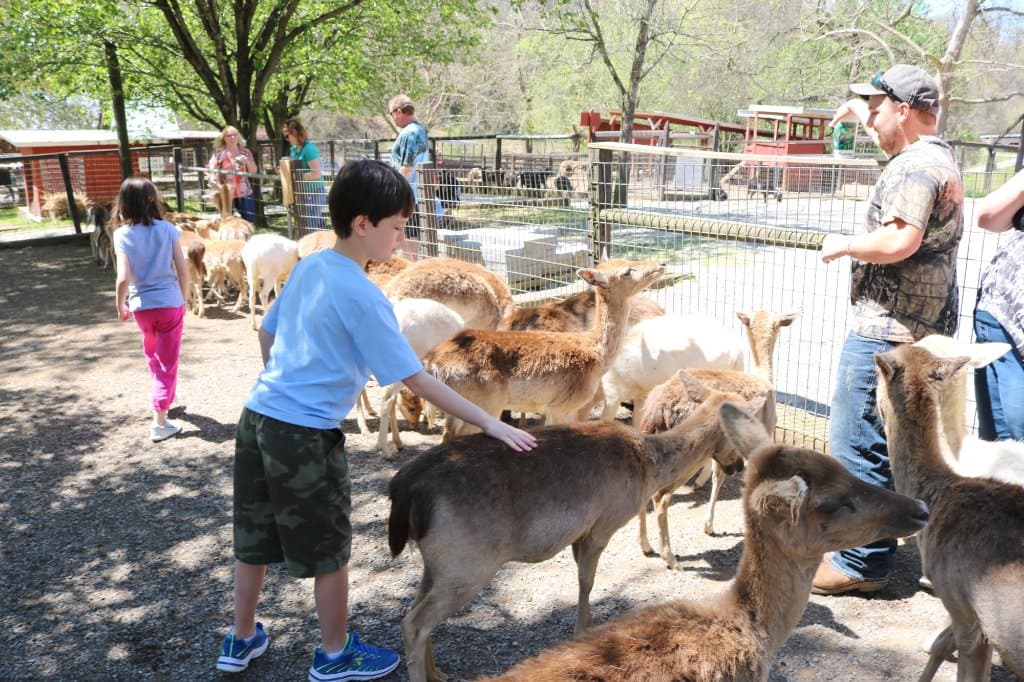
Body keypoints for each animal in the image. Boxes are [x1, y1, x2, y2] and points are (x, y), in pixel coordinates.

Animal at [388, 374, 758, 682]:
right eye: (738, 433)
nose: (738, 466)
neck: (648, 467)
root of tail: (407, 489)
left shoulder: (580, 531)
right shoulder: (603, 522)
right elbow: (586, 581)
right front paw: (583, 631)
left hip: (440, 562)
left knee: (416, 609)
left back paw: (438, 673)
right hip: (467, 562)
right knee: (414, 623)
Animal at [423, 262, 664, 438]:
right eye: (627, 270)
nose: (661, 264)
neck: (596, 355)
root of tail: (433, 363)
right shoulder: (562, 406)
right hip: (485, 402)